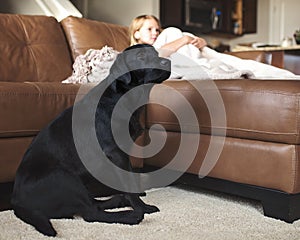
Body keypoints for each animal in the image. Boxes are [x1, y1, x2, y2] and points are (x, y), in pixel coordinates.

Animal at [11, 44, 171, 237]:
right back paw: (131, 215)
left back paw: (118, 200)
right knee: (90, 213)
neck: (124, 97)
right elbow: (128, 183)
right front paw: (142, 207)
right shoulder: (115, 153)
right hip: (65, 177)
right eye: (140, 56)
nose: (167, 62)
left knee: (93, 204)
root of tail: (16, 201)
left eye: (156, 53)